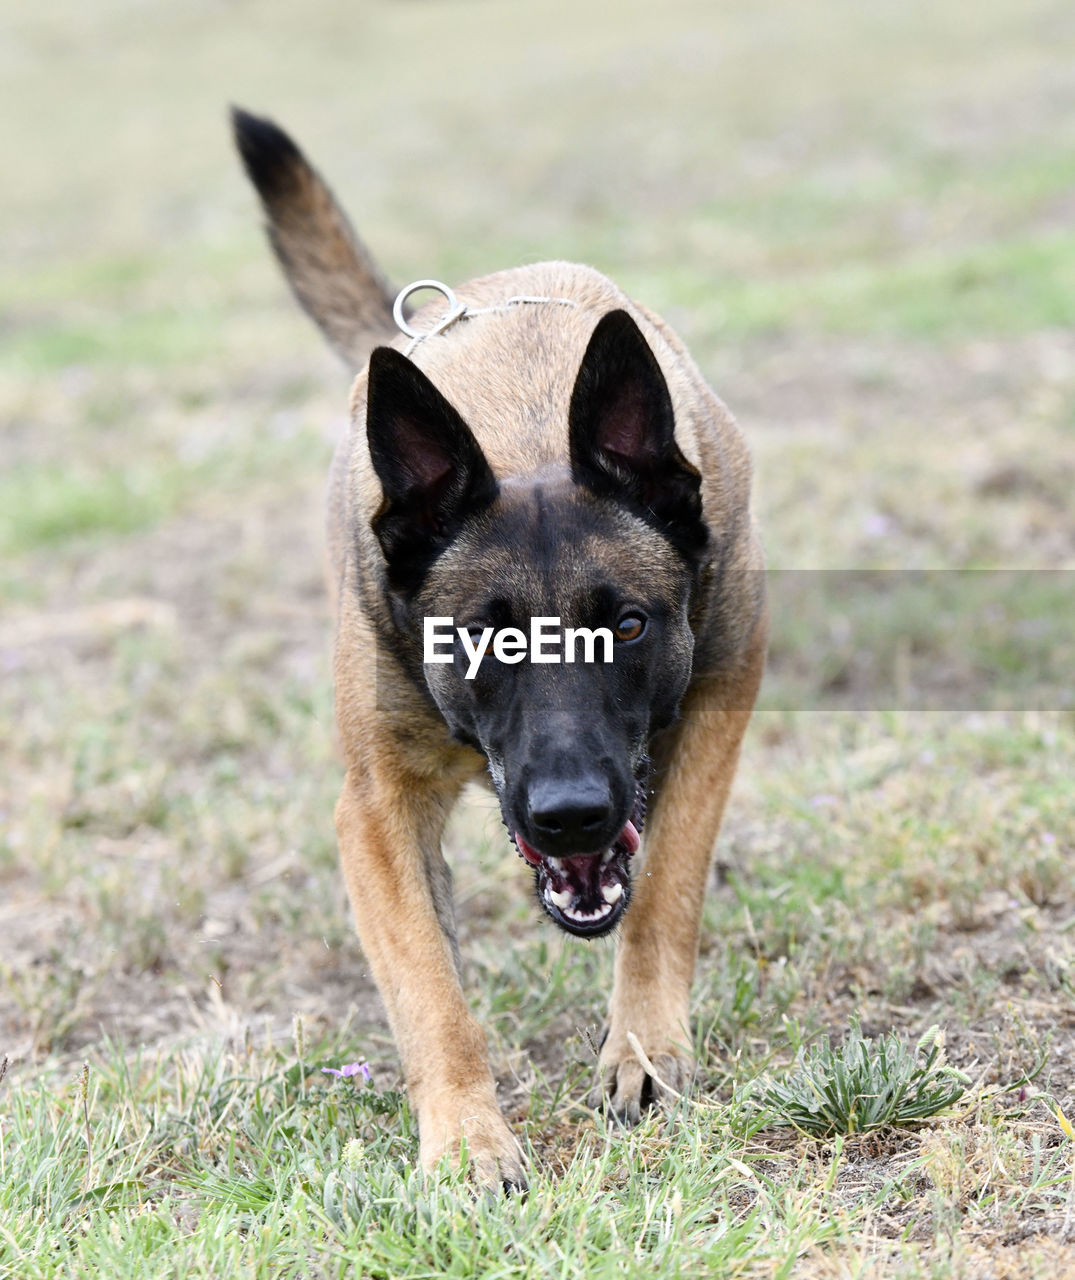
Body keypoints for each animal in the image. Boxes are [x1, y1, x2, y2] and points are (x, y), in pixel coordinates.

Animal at [231, 107, 767, 1187]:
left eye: (628, 624)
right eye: (482, 634)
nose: (569, 815)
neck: (524, 427)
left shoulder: (719, 695)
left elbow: (664, 892)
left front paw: (644, 1047)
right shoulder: (376, 810)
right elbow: (428, 987)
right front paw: (466, 1141)